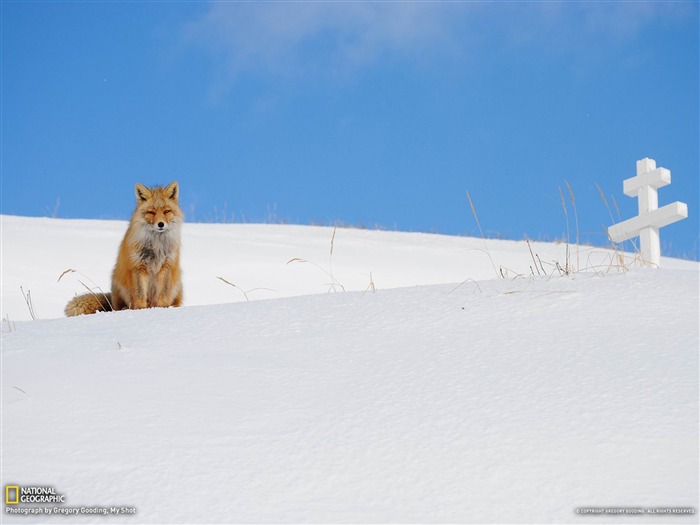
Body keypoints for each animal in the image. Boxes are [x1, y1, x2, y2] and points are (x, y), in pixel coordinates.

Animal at [65, 180, 183, 316]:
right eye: (151, 212)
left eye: (166, 211)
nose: (160, 224)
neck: (156, 245)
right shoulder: (138, 266)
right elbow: (140, 295)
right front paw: (141, 310)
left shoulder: (167, 265)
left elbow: (163, 294)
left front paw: (163, 309)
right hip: (117, 282)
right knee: (120, 306)